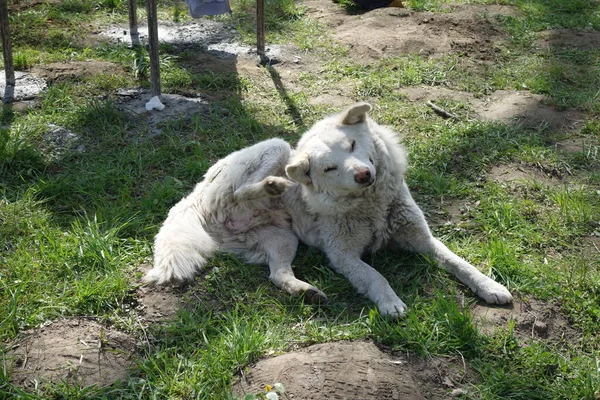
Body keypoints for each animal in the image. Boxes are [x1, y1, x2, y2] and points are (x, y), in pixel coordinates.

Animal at [144, 104, 510, 318]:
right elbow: (375, 275)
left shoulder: (421, 239)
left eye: (351, 145)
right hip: (275, 148)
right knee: (245, 189)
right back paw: (273, 186)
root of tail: (194, 195)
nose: (363, 174)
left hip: (282, 239)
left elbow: (459, 263)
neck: (370, 204)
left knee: (278, 275)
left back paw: (306, 292)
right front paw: (389, 302)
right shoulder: (343, 255)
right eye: (330, 168)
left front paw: (490, 286)